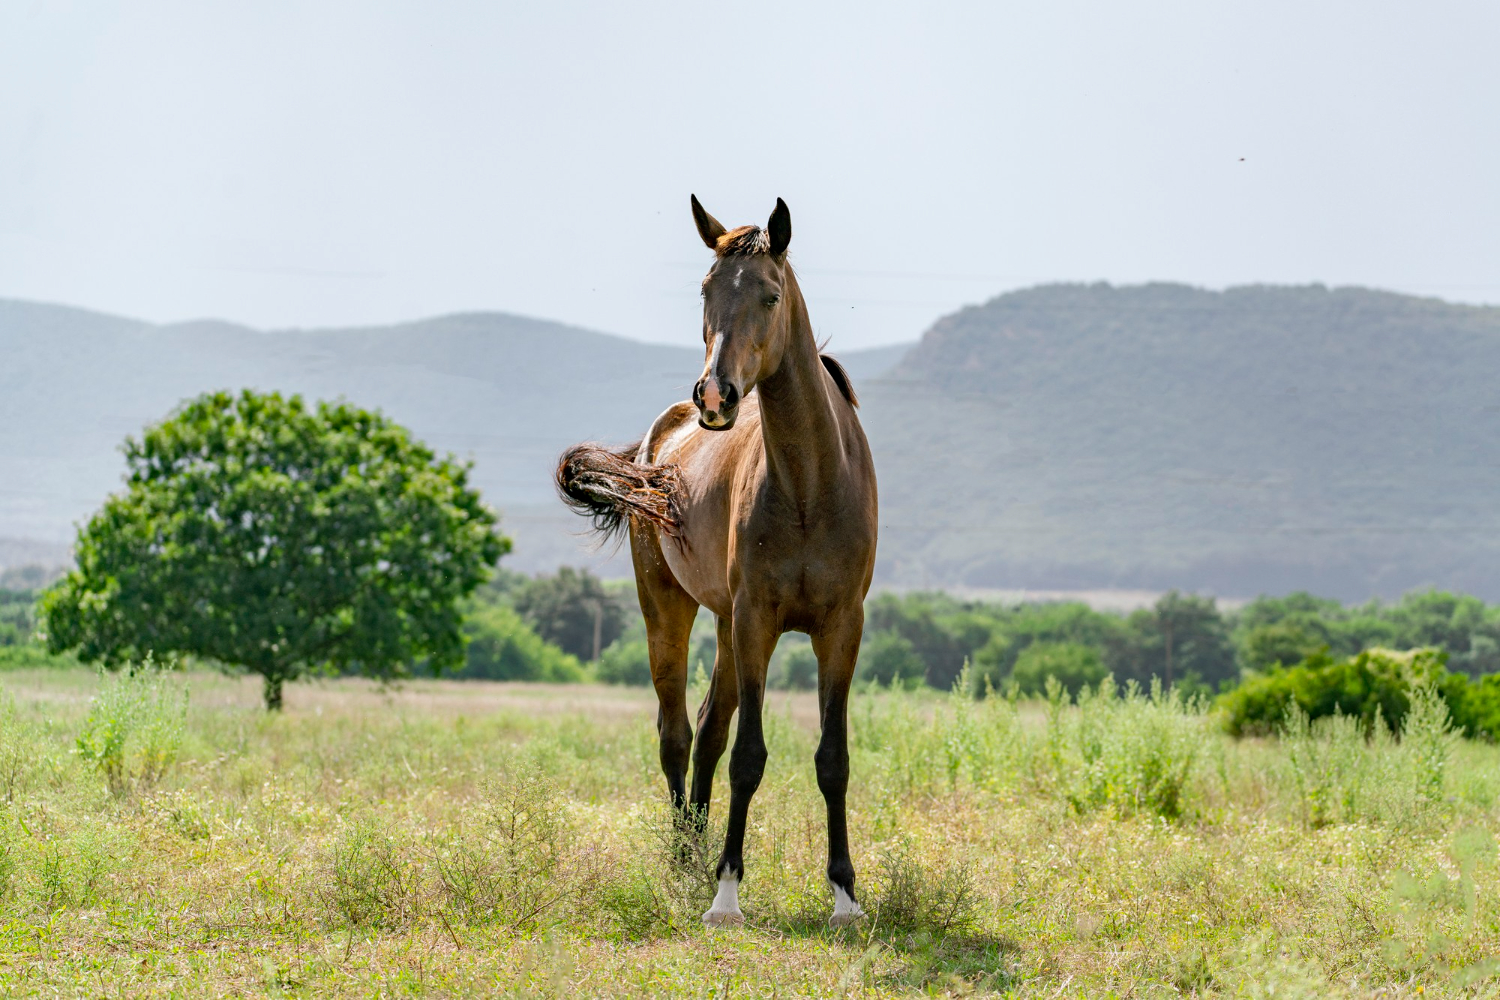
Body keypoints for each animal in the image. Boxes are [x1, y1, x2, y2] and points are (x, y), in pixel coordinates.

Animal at [556, 196, 879, 928]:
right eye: (705, 291)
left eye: (769, 293)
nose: (716, 396)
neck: (811, 485)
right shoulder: (757, 619)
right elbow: (750, 757)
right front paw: (727, 893)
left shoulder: (840, 627)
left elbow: (832, 758)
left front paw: (844, 896)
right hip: (671, 610)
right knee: (677, 733)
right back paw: (684, 862)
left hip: (729, 628)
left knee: (706, 731)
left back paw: (696, 851)